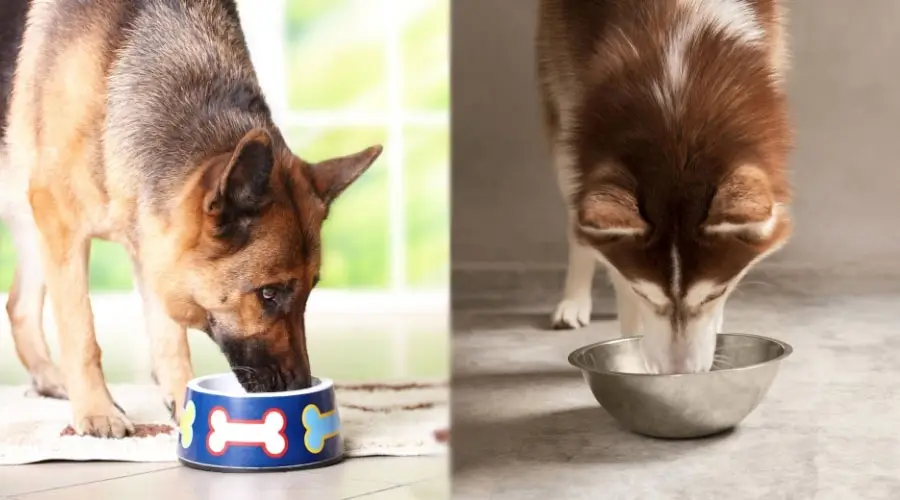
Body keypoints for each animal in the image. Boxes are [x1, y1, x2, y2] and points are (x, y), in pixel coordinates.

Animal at [0, 0, 382, 438]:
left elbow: (169, 338)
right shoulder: (63, 223)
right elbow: (81, 333)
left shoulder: (152, 238)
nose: (301, 385)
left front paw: (183, 402)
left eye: (310, 290)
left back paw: (51, 379)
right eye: (268, 294)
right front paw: (97, 411)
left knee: (18, 305)